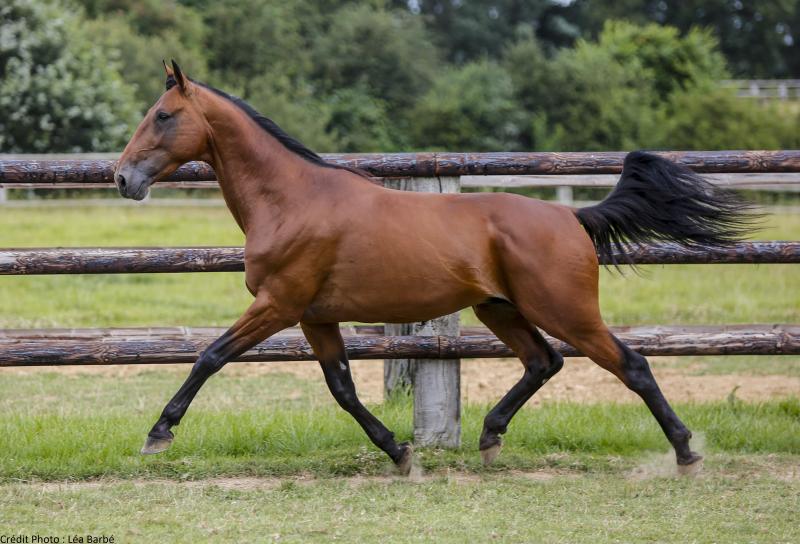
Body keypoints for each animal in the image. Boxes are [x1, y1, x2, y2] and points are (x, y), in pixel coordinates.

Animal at [115, 61, 752, 474]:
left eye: (164, 116)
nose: (123, 178)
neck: (293, 199)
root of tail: (571, 216)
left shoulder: (278, 304)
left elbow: (210, 356)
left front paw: (157, 435)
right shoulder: (315, 317)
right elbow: (342, 389)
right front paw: (400, 453)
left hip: (564, 310)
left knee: (631, 364)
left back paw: (686, 453)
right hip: (499, 308)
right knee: (543, 362)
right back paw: (491, 437)